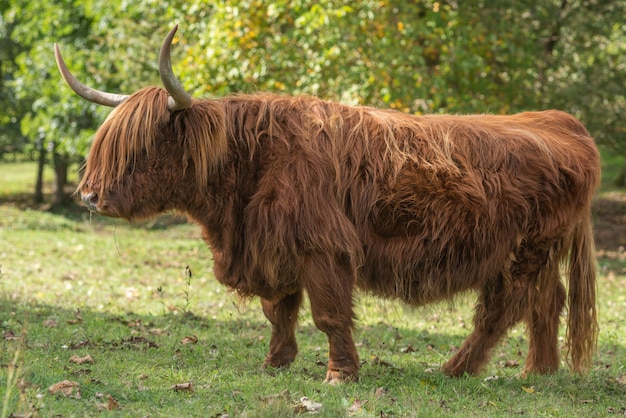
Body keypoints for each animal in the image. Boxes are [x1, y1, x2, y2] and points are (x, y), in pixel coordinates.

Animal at [56, 24, 596, 380]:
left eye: (143, 145)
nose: (90, 196)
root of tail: (560, 122)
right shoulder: (272, 245)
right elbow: (279, 311)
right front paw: (275, 363)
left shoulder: (322, 245)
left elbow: (328, 314)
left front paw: (340, 375)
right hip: (539, 253)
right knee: (548, 301)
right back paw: (539, 372)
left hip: (521, 253)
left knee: (502, 311)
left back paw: (455, 368)